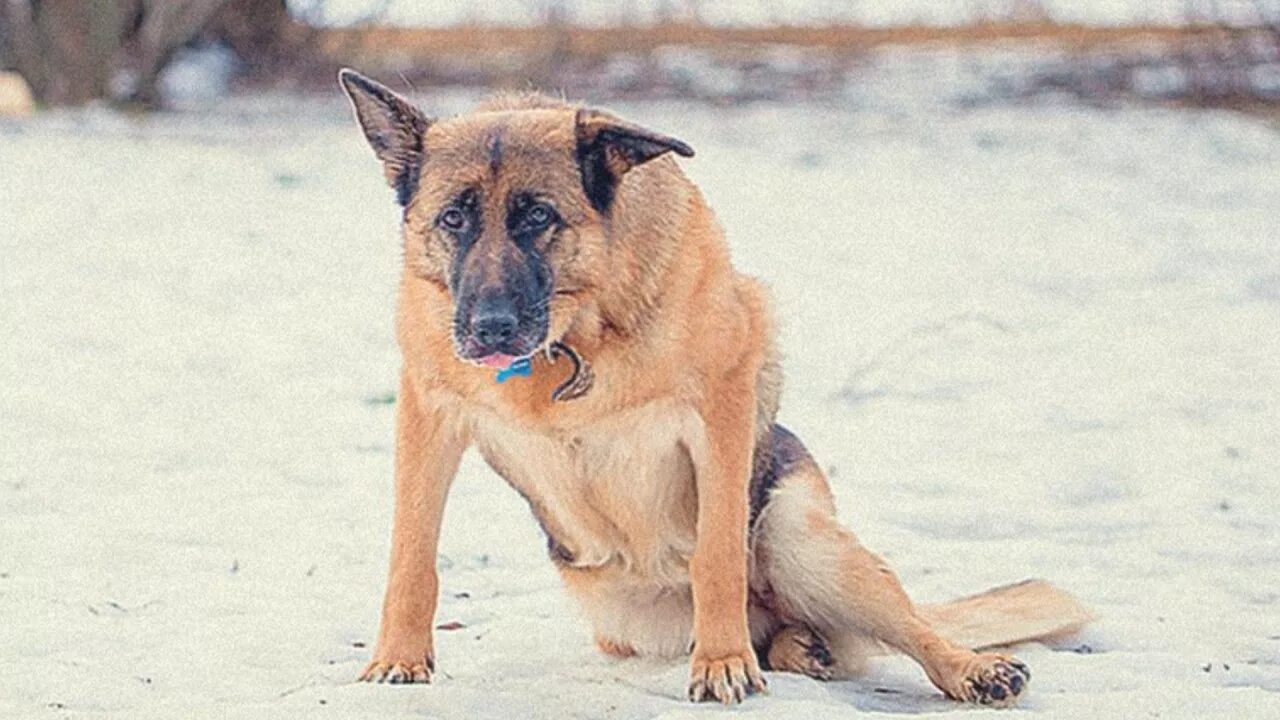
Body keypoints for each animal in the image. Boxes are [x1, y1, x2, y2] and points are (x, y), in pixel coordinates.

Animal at [335, 70, 1085, 702]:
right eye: (453, 218)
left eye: (538, 216)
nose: (488, 329)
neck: (574, 341)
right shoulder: (427, 415)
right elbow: (412, 555)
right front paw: (397, 659)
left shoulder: (720, 406)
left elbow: (716, 555)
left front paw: (722, 664)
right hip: (627, 619)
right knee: (796, 635)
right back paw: (798, 647)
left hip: (801, 542)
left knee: (907, 628)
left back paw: (967, 669)